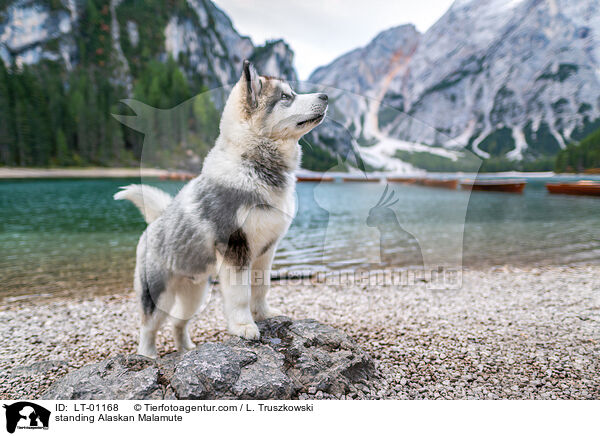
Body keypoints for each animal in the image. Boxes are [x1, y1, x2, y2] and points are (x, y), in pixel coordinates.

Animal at [116, 58, 328, 358]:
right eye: (287, 97)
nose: (326, 96)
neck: (253, 164)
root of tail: (155, 221)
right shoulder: (236, 249)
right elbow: (240, 295)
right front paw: (244, 326)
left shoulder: (266, 251)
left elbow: (261, 288)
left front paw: (264, 314)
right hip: (158, 295)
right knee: (148, 327)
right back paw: (147, 355)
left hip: (195, 293)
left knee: (178, 324)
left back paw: (186, 349)